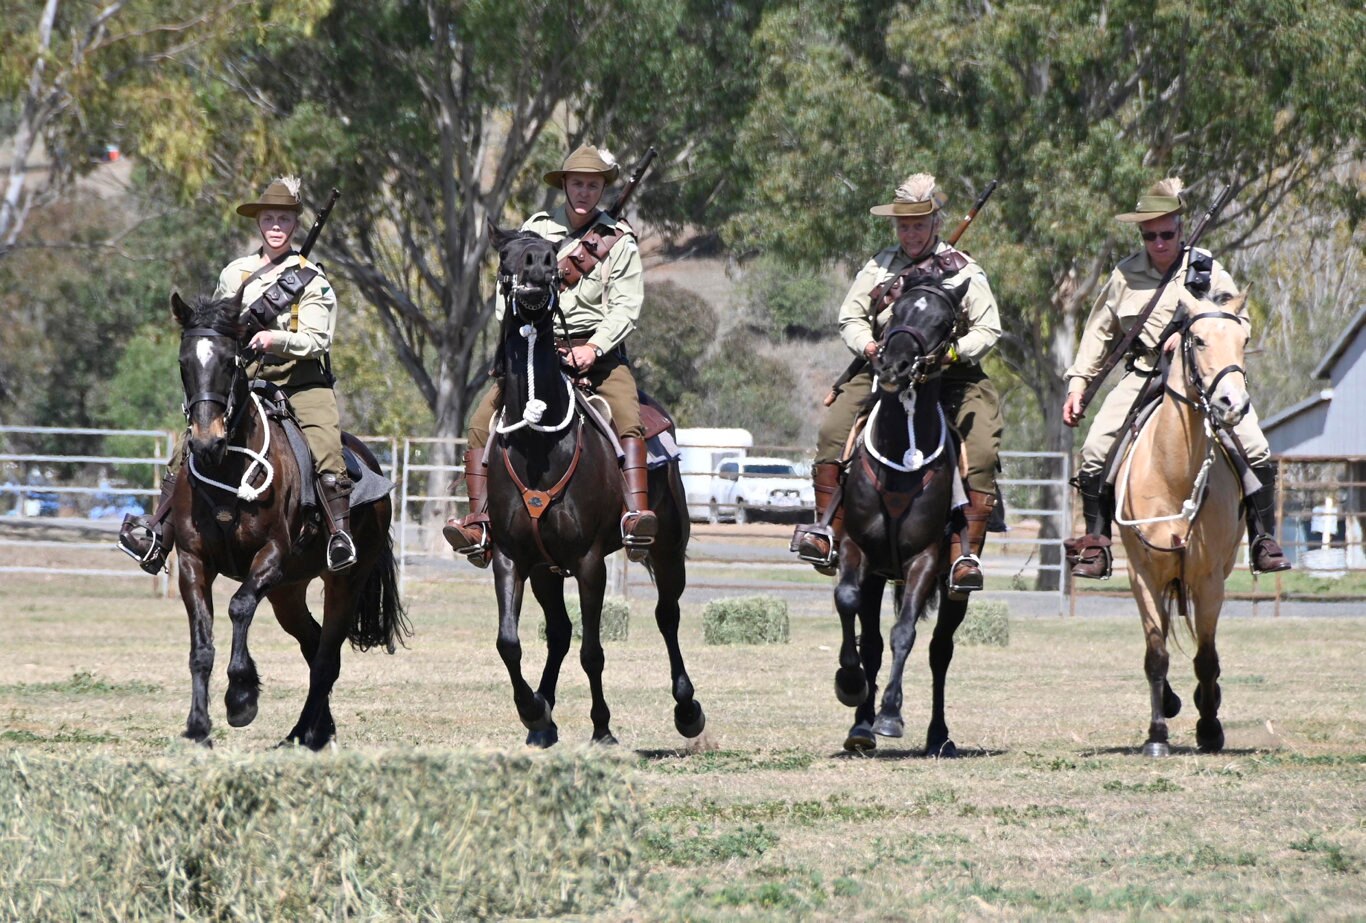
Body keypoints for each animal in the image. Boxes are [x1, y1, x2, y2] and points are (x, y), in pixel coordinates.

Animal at [168, 292, 407, 748]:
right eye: (184, 363)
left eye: (230, 361)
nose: (207, 442)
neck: (229, 468)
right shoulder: (193, 562)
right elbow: (200, 647)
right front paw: (198, 727)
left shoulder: (271, 556)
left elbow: (239, 606)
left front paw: (241, 698)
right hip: (288, 592)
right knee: (313, 646)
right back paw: (310, 730)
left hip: (342, 583)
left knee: (327, 658)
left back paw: (308, 733)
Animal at [483, 225, 704, 748]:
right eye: (507, 254)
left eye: (548, 252)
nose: (539, 267)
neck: (537, 444)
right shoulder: (512, 557)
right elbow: (509, 642)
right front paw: (533, 711)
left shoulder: (588, 562)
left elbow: (594, 651)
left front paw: (602, 728)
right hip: (545, 569)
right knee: (560, 632)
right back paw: (543, 718)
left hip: (666, 549)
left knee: (667, 616)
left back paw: (687, 709)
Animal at [825, 274, 978, 759]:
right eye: (897, 310)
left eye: (944, 321)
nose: (893, 366)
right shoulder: (858, 549)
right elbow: (849, 605)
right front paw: (851, 687)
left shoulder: (924, 561)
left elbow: (905, 634)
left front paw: (891, 714)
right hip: (878, 573)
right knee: (872, 643)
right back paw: (861, 726)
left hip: (953, 589)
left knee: (939, 651)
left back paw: (938, 735)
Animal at [1114, 296, 1251, 759]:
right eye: (1199, 339)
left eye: (1244, 339)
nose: (1233, 403)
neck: (1172, 474)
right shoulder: (1142, 577)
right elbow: (1156, 655)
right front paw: (1156, 734)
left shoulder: (1209, 580)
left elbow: (1207, 658)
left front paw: (1209, 728)